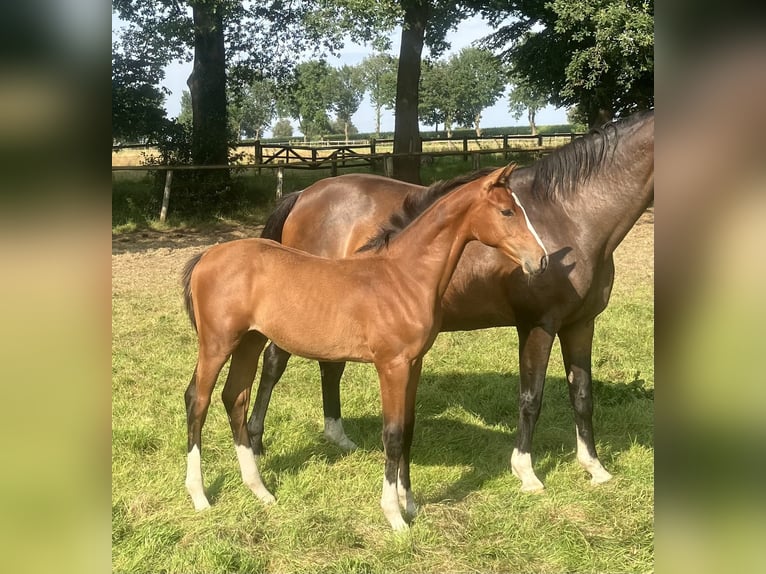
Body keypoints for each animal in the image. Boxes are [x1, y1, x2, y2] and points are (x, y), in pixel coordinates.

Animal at [183, 164, 548, 532]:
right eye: (507, 211)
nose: (541, 260)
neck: (403, 276)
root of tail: (206, 256)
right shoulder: (391, 366)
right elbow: (393, 434)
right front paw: (394, 516)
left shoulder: (414, 363)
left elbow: (408, 429)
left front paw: (410, 503)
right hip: (216, 344)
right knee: (198, 400)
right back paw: (199, 496)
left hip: (249, 341)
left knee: (235, 398)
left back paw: (259, 490)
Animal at [249, 109, 656, 496]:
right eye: (508, 213)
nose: (537, 261)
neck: (569, 216)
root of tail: (303, 195)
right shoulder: (538, 324)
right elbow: (531, 398)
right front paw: (526, 473)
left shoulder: (580, 324)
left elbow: (583, 395)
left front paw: (595, 467)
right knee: (273, 364)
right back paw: (255, 443)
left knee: (329, 367)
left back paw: (338, 436)